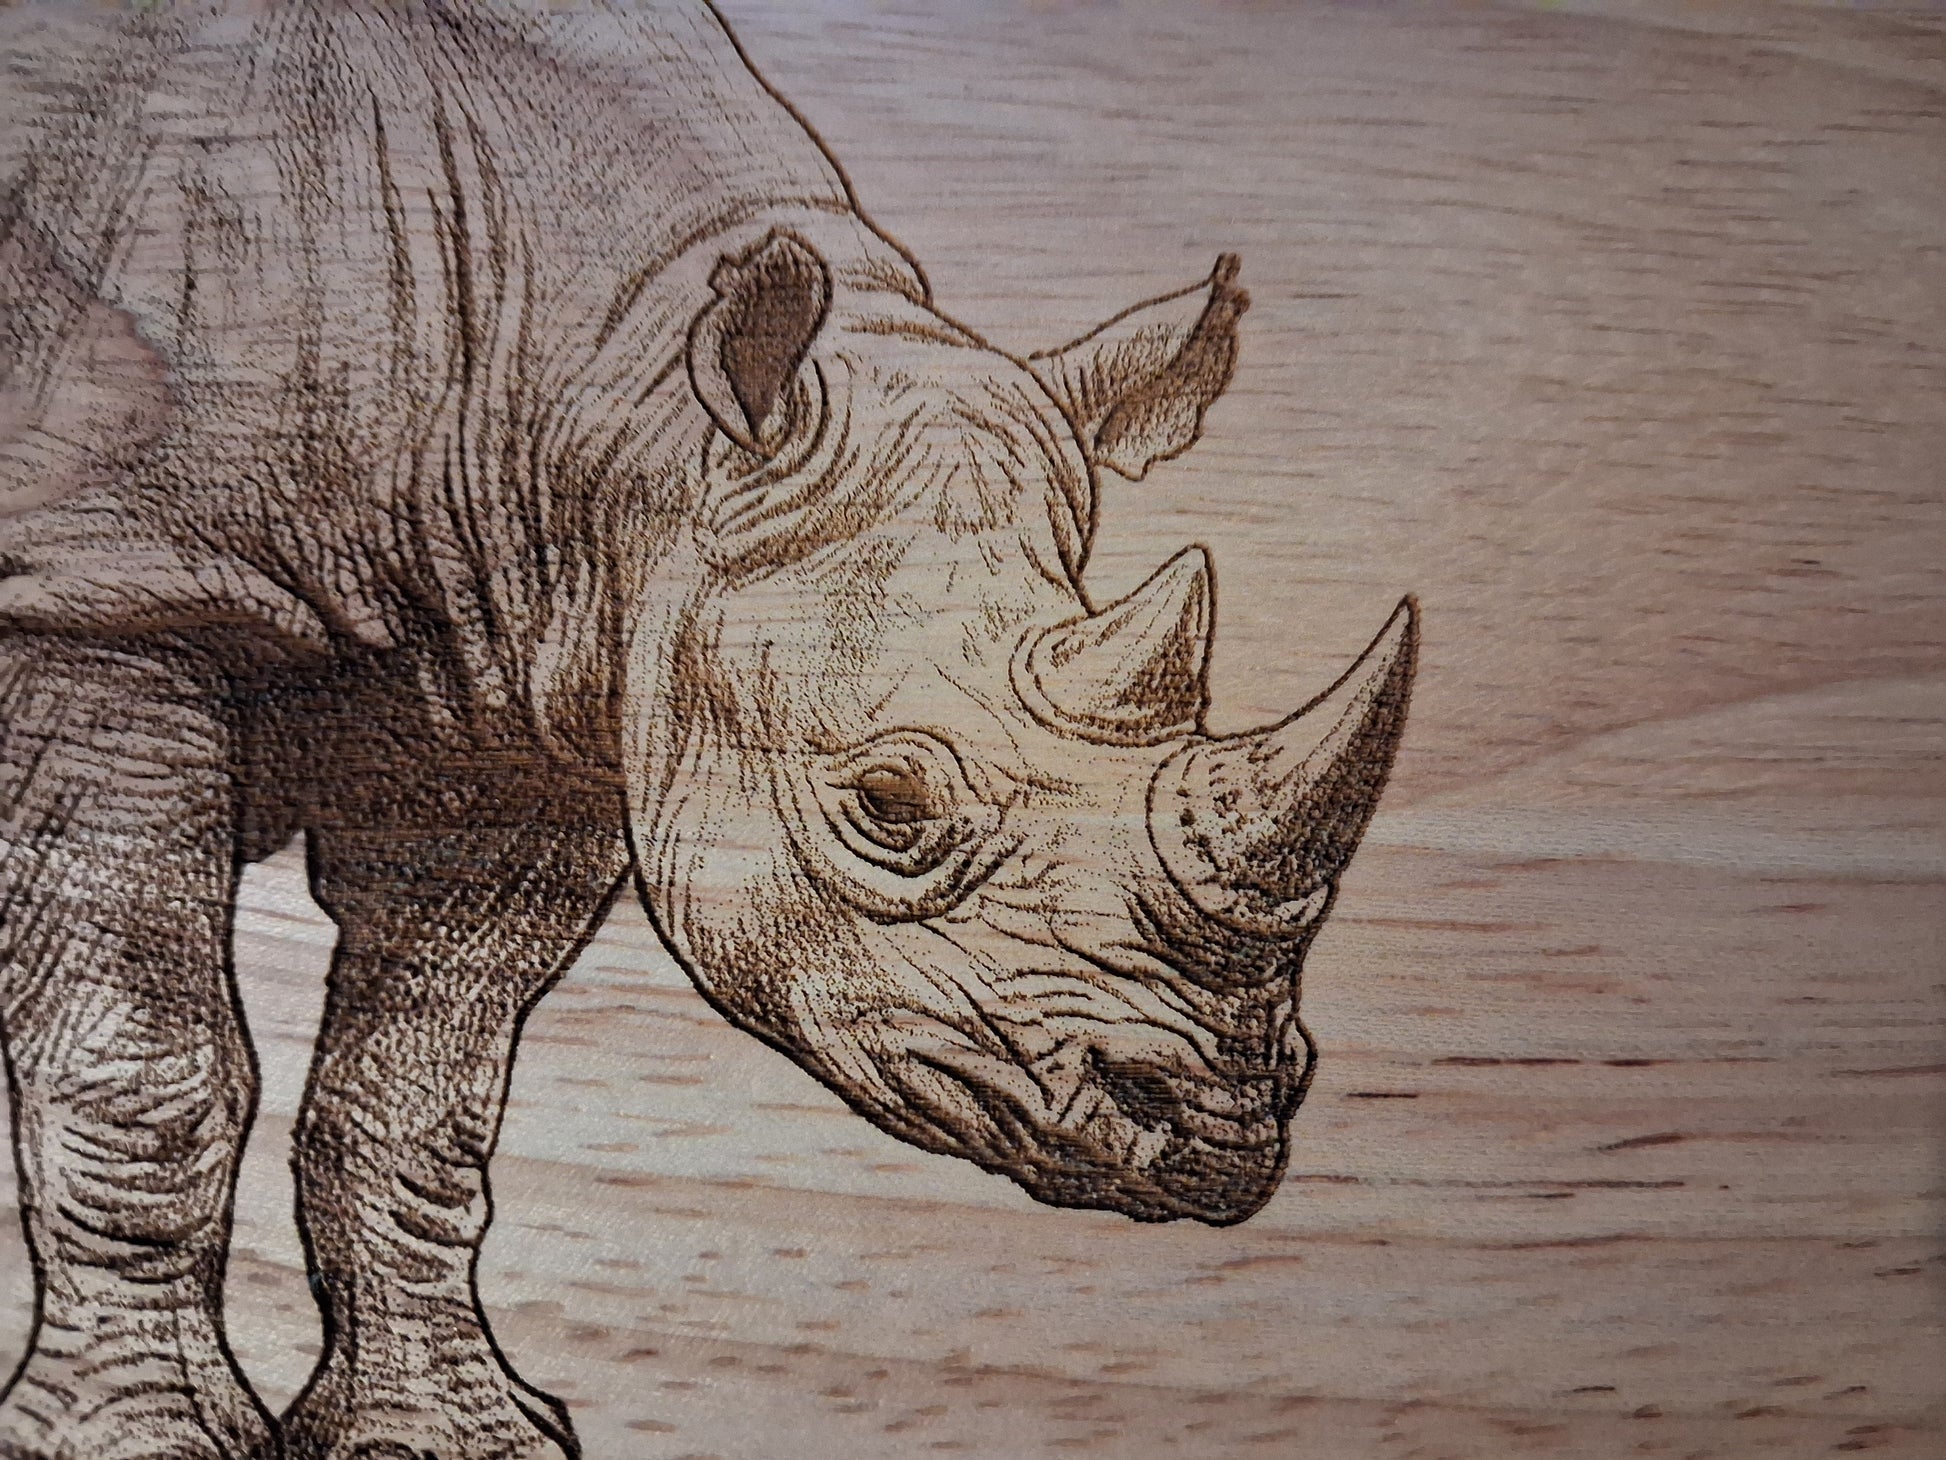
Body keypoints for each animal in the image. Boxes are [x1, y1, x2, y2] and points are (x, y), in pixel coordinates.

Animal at [0, 2, 1416, 1456]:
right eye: (888, 808)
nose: (1221, 1133)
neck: (610, 393)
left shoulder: (532, 688)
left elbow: (417, 1098)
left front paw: (455, 1431)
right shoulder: (104, 591)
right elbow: (142, 1060)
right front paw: (139, 1439)